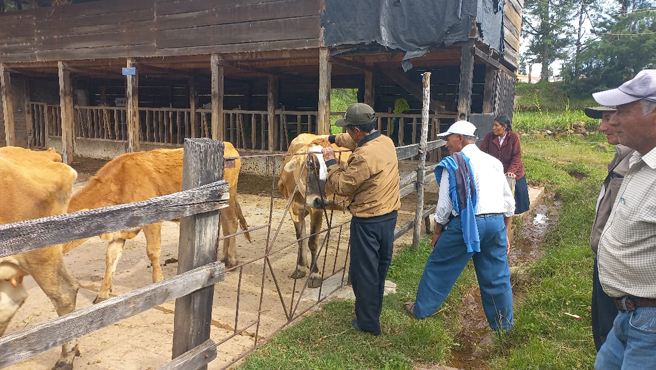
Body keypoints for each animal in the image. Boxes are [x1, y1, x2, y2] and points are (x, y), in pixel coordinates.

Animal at [64, 143, 250, 302]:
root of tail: (228, 145)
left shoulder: (152, 222)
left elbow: (152, 252)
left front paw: (158, 282)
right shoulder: (120, 230)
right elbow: (111, 258)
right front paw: (103, 294)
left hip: (229, 196)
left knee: (231, 223)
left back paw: (232, 259)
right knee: (225, 226)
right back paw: (224, 257)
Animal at [276, 134, 352, 290]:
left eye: (329, 169)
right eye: (309, 165)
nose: (321, 201)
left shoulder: (316, 209)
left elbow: (312, 242)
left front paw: (315, 275)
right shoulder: (293, 209)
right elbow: (301, 239)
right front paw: (300, 268)